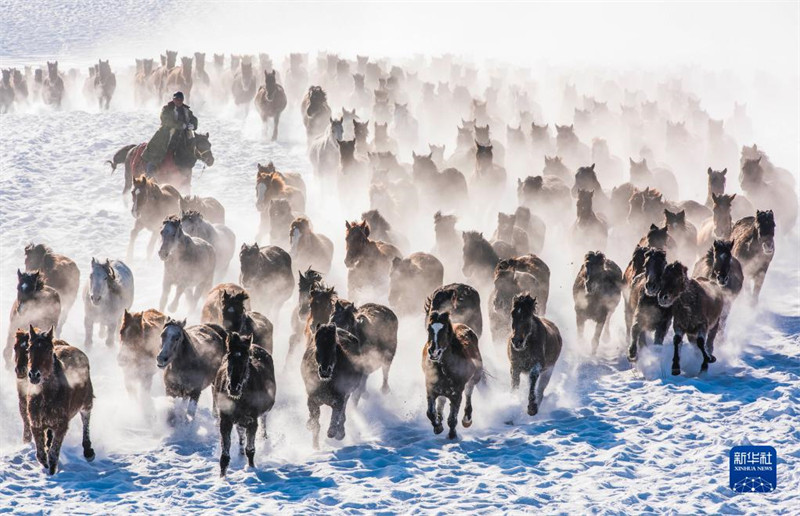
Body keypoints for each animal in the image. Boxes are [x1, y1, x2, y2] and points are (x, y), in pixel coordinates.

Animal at [25, 326, 95, 474]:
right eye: (29, 349)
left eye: (49, 350)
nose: (34, 375)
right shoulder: (35, 423)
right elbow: (41, 454)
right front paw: (46, 465)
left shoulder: (62, 425)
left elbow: (53, 453)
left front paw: (52, 471)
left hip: (87, 402)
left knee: (86, 420)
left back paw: (88, 452)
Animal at [213, 332, 276, 476]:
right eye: (229, 357)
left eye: (246, 359)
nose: (233, 388)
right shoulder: (225, 421)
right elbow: (224, 455)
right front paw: (222, 477)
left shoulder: (252, 421)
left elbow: (250, 450)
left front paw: (251, 468)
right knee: (240, 432)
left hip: (262, 414)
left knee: (263, 422)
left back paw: (264, 438)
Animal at [422, 311, 483, 439]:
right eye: (429, 329)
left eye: (445, 330)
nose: (433, 352)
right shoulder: (431, 389)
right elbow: (430, 413)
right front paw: (438, 427)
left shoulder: (456, 394)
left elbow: (452, 419)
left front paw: (452, 434)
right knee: (442, 401)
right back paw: (440, 418)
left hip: (474, 379)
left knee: (468, 393)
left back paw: (467, 420)